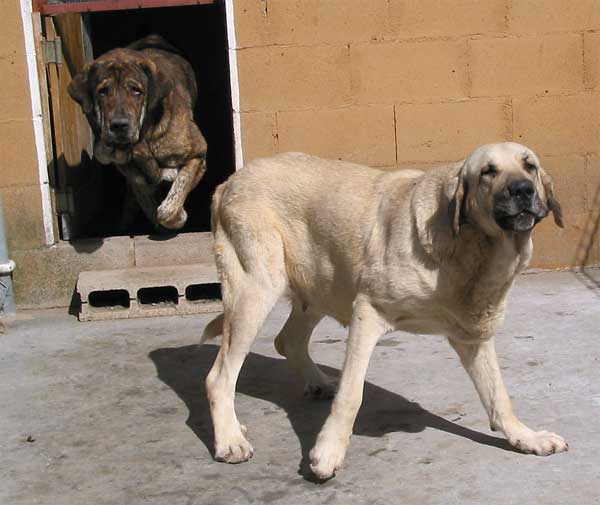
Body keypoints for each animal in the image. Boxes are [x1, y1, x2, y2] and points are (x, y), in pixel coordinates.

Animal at [69, 36, 206, 230]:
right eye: (102, 91)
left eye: (136, 90)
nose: (119, 125)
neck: (143, 141)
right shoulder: (138, 182)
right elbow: (154, 212)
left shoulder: (198, 154)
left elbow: (170, 203)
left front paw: (178, 215)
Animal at [202, 141, 568, 476]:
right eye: (487, 172)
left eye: (530, 166)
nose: (522, 189)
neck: (470, 246)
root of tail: (230, 181)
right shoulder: (368, 311)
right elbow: (351, 394)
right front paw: (328, 451)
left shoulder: (471, 338)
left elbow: (498, 396)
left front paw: (525, 437)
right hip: (257, 289)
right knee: (219, 376)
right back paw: (230, 438)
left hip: (321, 283)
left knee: (287, 341)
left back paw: (313, 383)